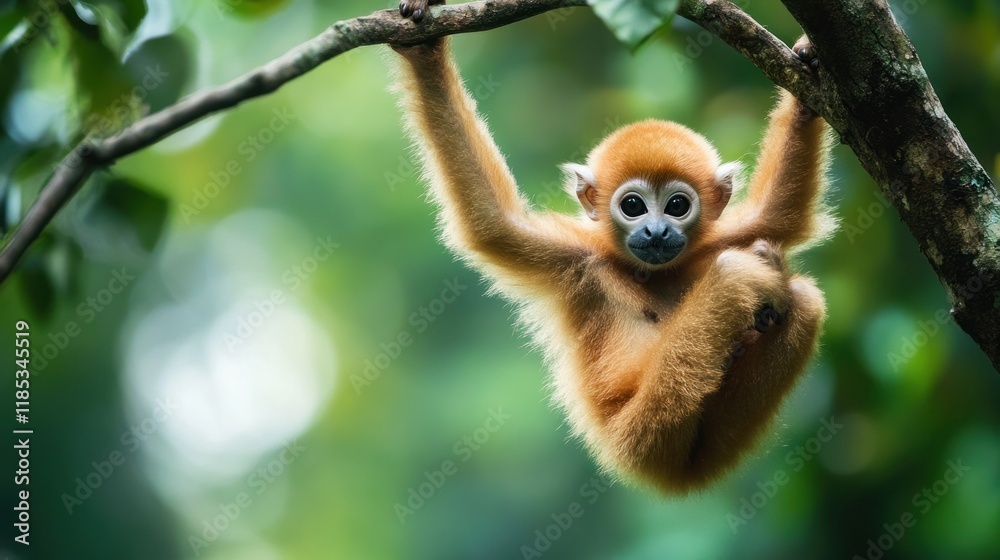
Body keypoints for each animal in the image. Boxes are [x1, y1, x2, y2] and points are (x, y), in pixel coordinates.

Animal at [393, 4, 832, 494]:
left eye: (677, 206)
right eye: (633, 206)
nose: (657, 232)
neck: (651, 271)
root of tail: (678, 477)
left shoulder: (716, 237)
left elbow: (781, 215)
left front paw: (811, 69)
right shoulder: (575, 258)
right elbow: (490, 222)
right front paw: (424, 50)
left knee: (804, 300)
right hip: (643, 434)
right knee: (734, 283)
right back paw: (744, 278)